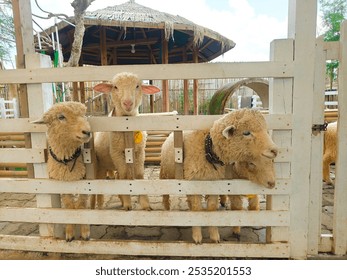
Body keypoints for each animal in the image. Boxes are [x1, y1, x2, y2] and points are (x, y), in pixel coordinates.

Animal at [31, 101, 92, 242]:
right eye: (61, 117)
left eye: (84, 114)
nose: (87, 131)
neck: (66, 160)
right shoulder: (62, 182)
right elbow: (69, 206)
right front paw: (69, 233)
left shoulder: (84, 181)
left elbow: (81, 204)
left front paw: (85, 232)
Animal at [94, 72, 162, 210]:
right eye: (115, 87)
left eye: (137, 86)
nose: (128, 103)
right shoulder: (116, 152)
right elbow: (125, 176)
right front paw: (127, 204)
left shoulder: (140, 152)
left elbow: (140, 175)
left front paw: (145, 204)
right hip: (100, 165)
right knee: (100, 183)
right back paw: (100, 205)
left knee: (117, 176)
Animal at [159, 108, 278, 244]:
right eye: (246, 133)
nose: (275, 150)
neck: (208, 151)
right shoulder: (194, 182)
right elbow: (197, 209)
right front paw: (197, 236)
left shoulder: (214, 184)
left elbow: (211, 209)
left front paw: (214, 236)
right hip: (165, 174)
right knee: (166, 194)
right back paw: (167, 208)